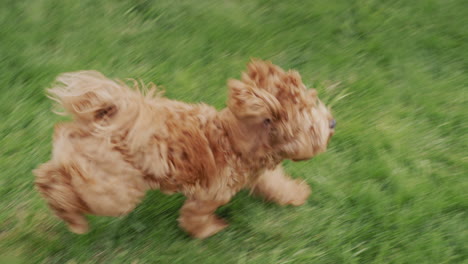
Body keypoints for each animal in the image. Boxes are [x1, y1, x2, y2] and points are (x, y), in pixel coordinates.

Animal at [33, 60, 332, 238]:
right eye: (311, 127)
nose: (332, 122)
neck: (236, 138)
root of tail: (106, 117)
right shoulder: (211, 194)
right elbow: (194, 217)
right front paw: (210, 230)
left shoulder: (257, 175)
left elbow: (274, 184)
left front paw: (295, 194)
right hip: (115, 190)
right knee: (63, 189)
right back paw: (74, 220)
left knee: (53, 170)